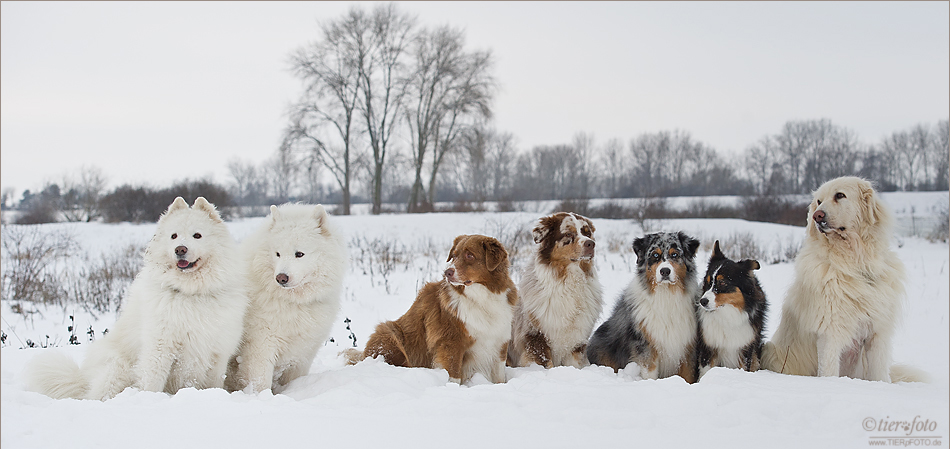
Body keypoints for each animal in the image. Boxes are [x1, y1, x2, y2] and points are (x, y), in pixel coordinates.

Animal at [25, 196, 249, 400]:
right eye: (174, 236)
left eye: (197, 235)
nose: (180, 249)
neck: (189, 292)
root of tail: (83, 381)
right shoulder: (159, 347)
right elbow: (152, 380)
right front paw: (147, 400)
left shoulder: (217, 351)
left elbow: (214, 383)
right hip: (118, 368)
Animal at [227, 203, 350, 392]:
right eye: (277, 253)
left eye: (299, 254)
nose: (281, 278)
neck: (293, 302)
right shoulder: (261, 346)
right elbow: (260, 381)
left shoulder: (303, 351)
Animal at [348, 233, 516, 384]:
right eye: (454, 256)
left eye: (470, 255)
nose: (447, 272)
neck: (482, 297)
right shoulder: (450, 342)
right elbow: (454, 374)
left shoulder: (499, 341)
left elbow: (499, 376)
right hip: (389, 333)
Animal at [510, 213, 608, 368]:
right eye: (568, 234)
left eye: (587, 233)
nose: (591, 244)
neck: (570, 281)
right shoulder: (535, 337)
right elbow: (546, 363)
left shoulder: (576, 341)